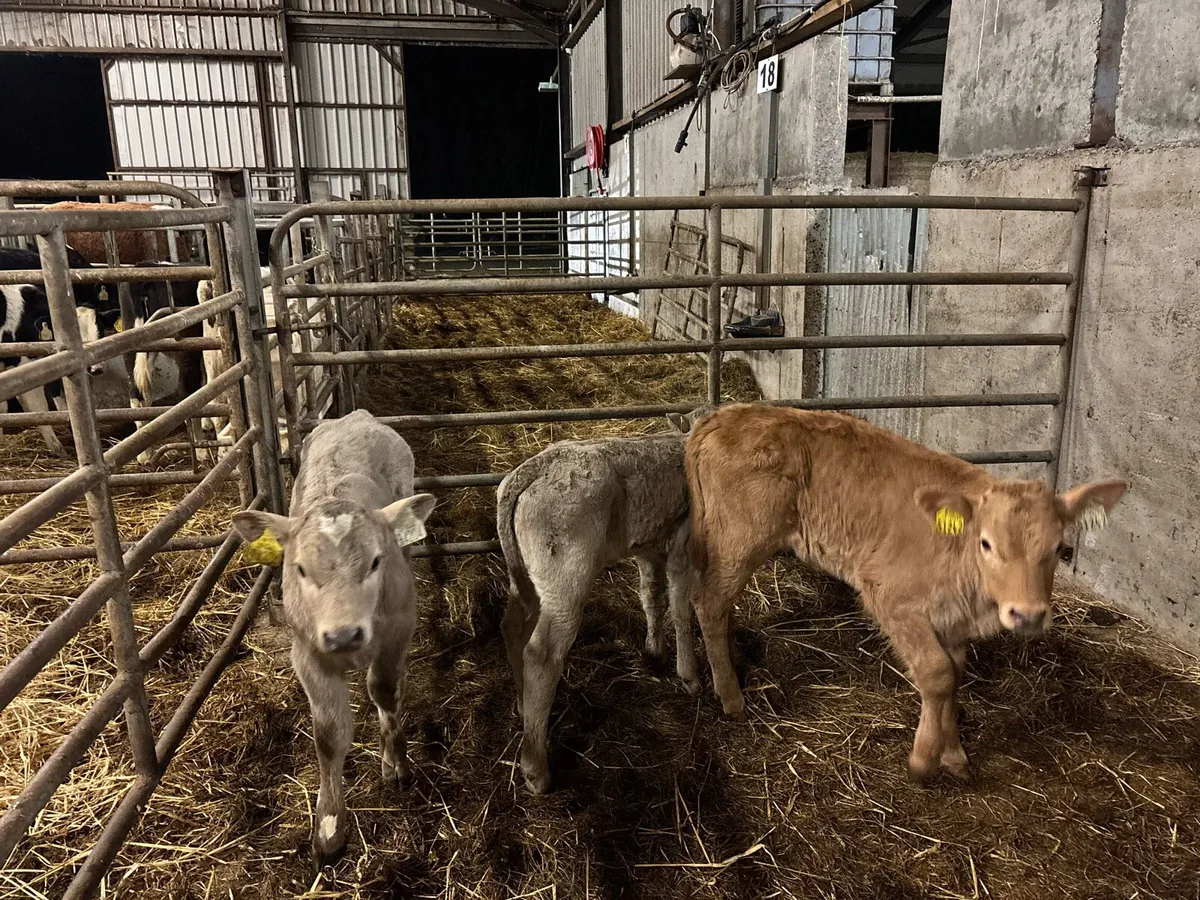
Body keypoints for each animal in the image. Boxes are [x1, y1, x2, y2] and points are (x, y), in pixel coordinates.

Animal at [231, 409, 435, 866]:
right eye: (301, 569)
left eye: (376, 562)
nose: (343, 635)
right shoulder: (307, 652)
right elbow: (328, 734)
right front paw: (328, 825)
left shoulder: (398, 630)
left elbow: (385, 691)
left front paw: (395, 761)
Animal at [496, 408, 711, 795]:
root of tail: (536, 465)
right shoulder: (682, 545)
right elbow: (680, 609)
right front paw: (689, 675)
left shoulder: (647, 546)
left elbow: (651, 597)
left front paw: (654, 652)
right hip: (565, 578)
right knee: (541, 653)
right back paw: (536, 768)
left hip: (524, 577)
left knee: (512, 628)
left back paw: (524, 709)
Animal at [684, 402, 1128, 783]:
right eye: (986, 543)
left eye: (1060, 548)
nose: (1029, 614)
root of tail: (726, 414)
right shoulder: (891, 600)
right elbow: (936, 673)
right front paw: (922, 761)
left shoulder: (952, 622)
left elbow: (955, 676)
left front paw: (954, 755)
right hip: (740, 540)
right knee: (709, 603)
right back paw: (731, 698)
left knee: (722, 603)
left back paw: (737, 661)